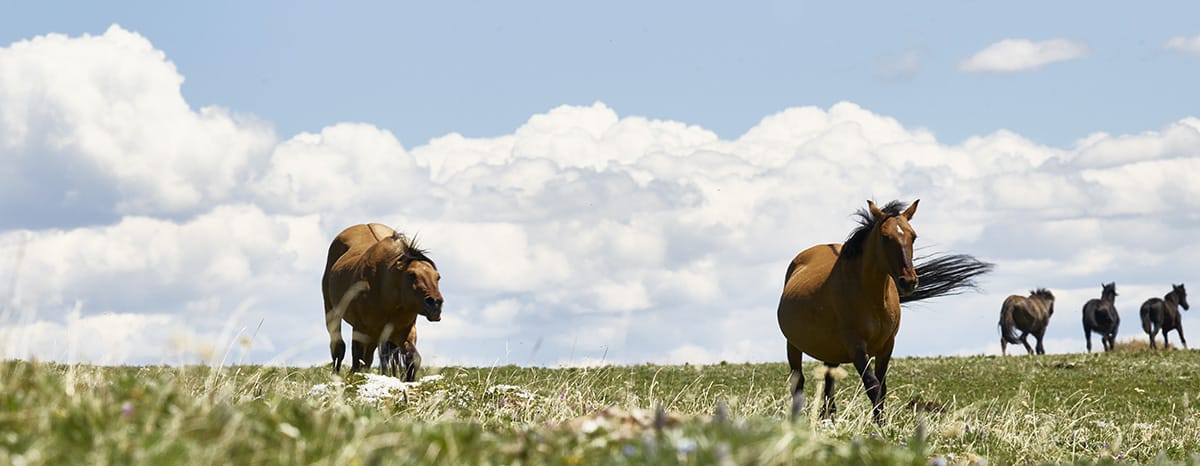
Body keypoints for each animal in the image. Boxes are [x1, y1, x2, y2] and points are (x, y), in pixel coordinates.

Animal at [322, 223, 443, 380]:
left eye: (437, 277)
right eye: (411, 275)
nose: (435, 304)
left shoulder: (403, 332)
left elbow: (413, 359)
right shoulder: (360, 330)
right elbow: (356, 361)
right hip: (332, 312)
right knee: (338, 348)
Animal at [777, 199, 993, 424]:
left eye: (913, 236)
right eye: (885, 236)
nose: (908, 281)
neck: (872, 299)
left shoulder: (887, 345)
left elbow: (882, 386)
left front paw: (880, 421)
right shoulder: (856, 346)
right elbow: (872, 385)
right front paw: (879, 425)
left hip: (831, 349)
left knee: (829, 380)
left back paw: (828, 417)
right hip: (793, 344)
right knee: (798, 381)